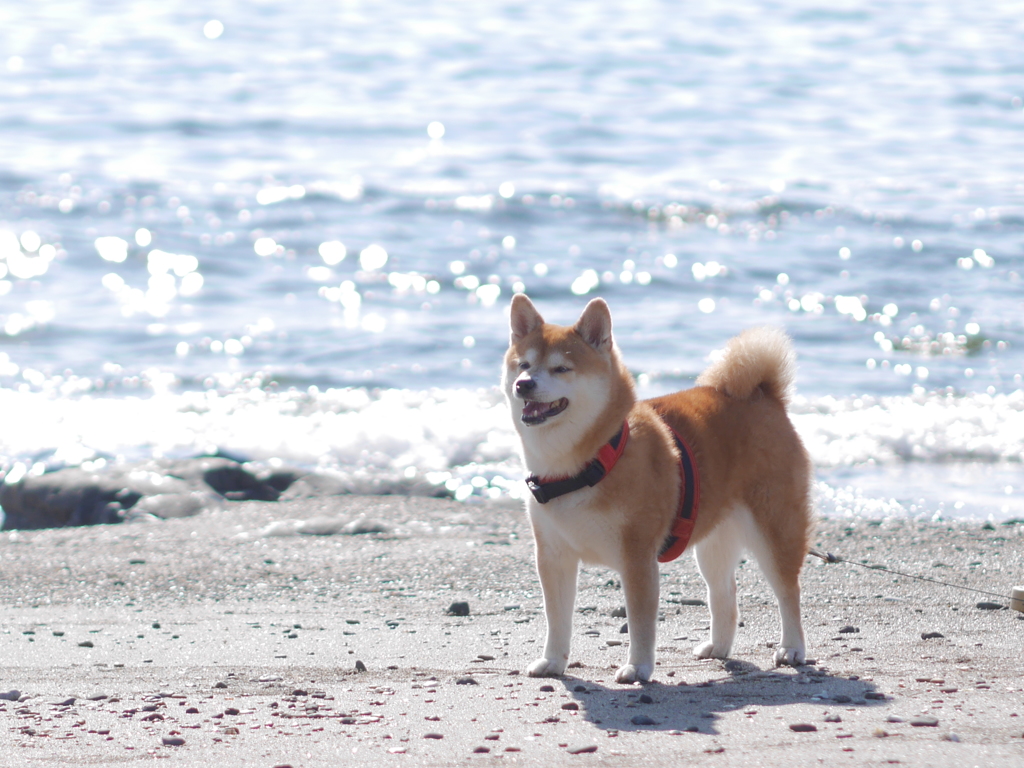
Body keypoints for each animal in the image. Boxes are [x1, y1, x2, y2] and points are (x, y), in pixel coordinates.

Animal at [499, 294, 811, 684]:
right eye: (524, 364)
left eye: (561, 369)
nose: (524, 384)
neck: (585, 464)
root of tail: (765, 396)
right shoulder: (553, 555)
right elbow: (556, 618)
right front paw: (553, 661)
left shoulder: (636, 555)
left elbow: (641, 621)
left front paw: (638, 667)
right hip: (713, 542)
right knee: (724, 593)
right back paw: (718, 647)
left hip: (774, 530)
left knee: (788, 591)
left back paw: (792, 648)